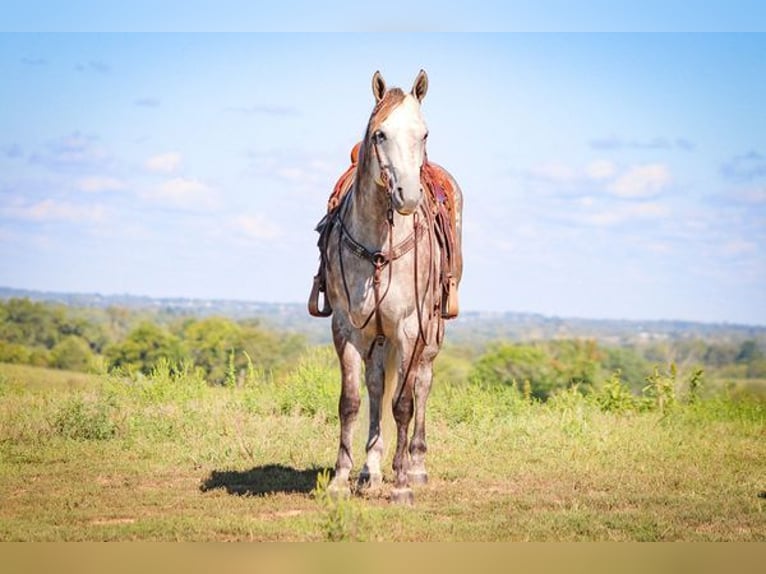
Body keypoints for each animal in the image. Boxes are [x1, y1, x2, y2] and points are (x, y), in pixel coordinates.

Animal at [310, 71, 462, 504]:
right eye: (380, 134)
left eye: (423, 134)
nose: (407, 197)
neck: (379, 240)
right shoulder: (346, 327)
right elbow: (352, 401)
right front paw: (341, 480)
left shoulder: (410, 329)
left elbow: (404, 405)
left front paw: (402, 485)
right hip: (377, 336)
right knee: (377, 385)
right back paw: (369, 471)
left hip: (431, 332)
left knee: (422, 384)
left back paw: (416, 466)